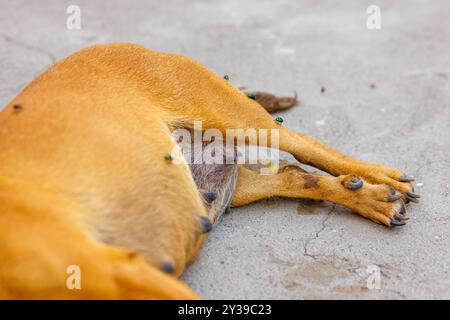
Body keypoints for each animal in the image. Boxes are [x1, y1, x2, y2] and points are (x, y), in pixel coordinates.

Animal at [0, 43, 418, 298]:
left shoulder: (117, 272)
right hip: (232, 183)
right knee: (294, 173)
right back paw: (370, 198)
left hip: (235, 115)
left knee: (306, 145)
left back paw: (379, 179)